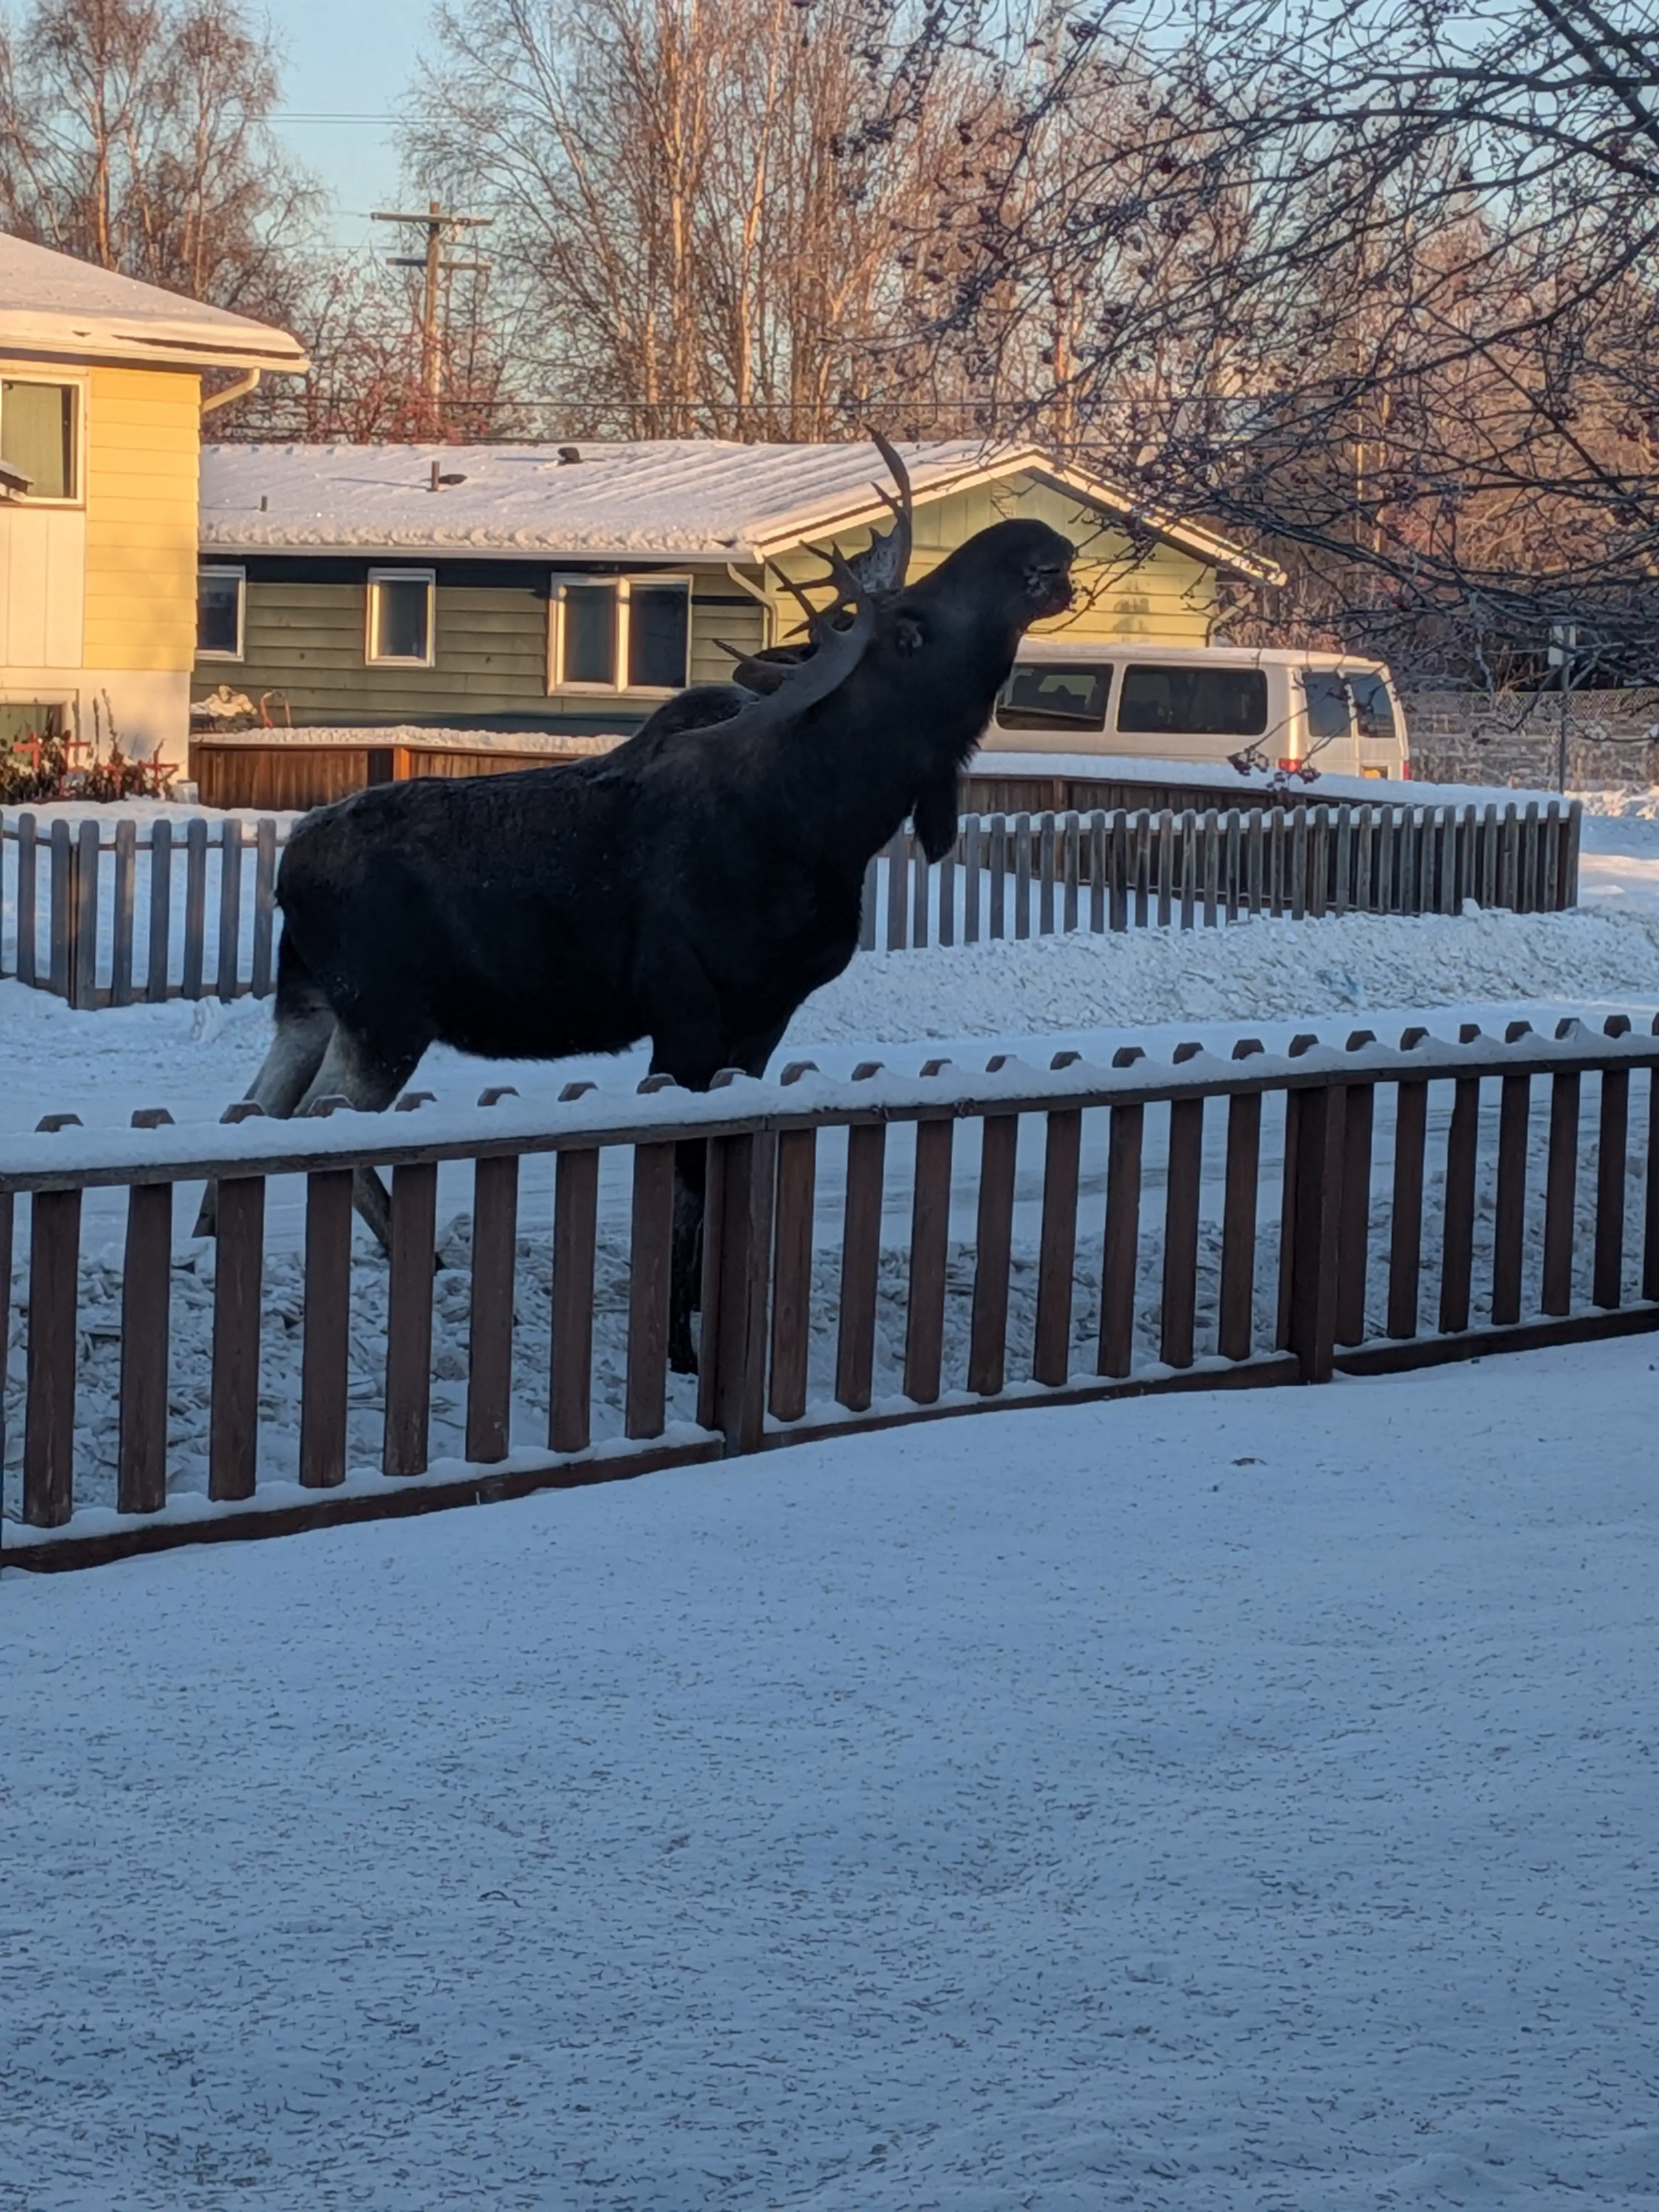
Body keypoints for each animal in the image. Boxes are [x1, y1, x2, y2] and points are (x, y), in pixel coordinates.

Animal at [197, 436, 1075, 1369]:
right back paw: (419, 1258)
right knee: (317, 1128)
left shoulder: (765, 1019)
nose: (1035, 542)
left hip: (310, 1007)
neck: (830, 827)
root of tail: (289, 869)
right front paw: (680, 1348)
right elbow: (685, 1183)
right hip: (385, 1017)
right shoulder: (687, 1012)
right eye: (909, 627)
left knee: (247, 1111)